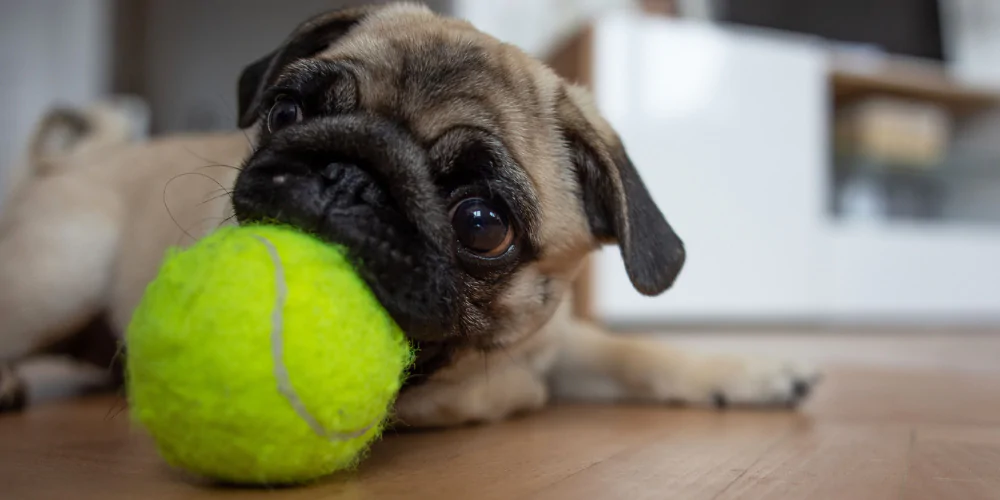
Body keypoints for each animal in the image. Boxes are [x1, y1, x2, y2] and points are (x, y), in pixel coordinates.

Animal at [0, 3, 820, 422]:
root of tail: (60, 165)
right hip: (62, 272)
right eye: (286, 112)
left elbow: (635, 352)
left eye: (482, 224)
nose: (346, 176)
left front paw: (746, 370)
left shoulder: (559, 341)